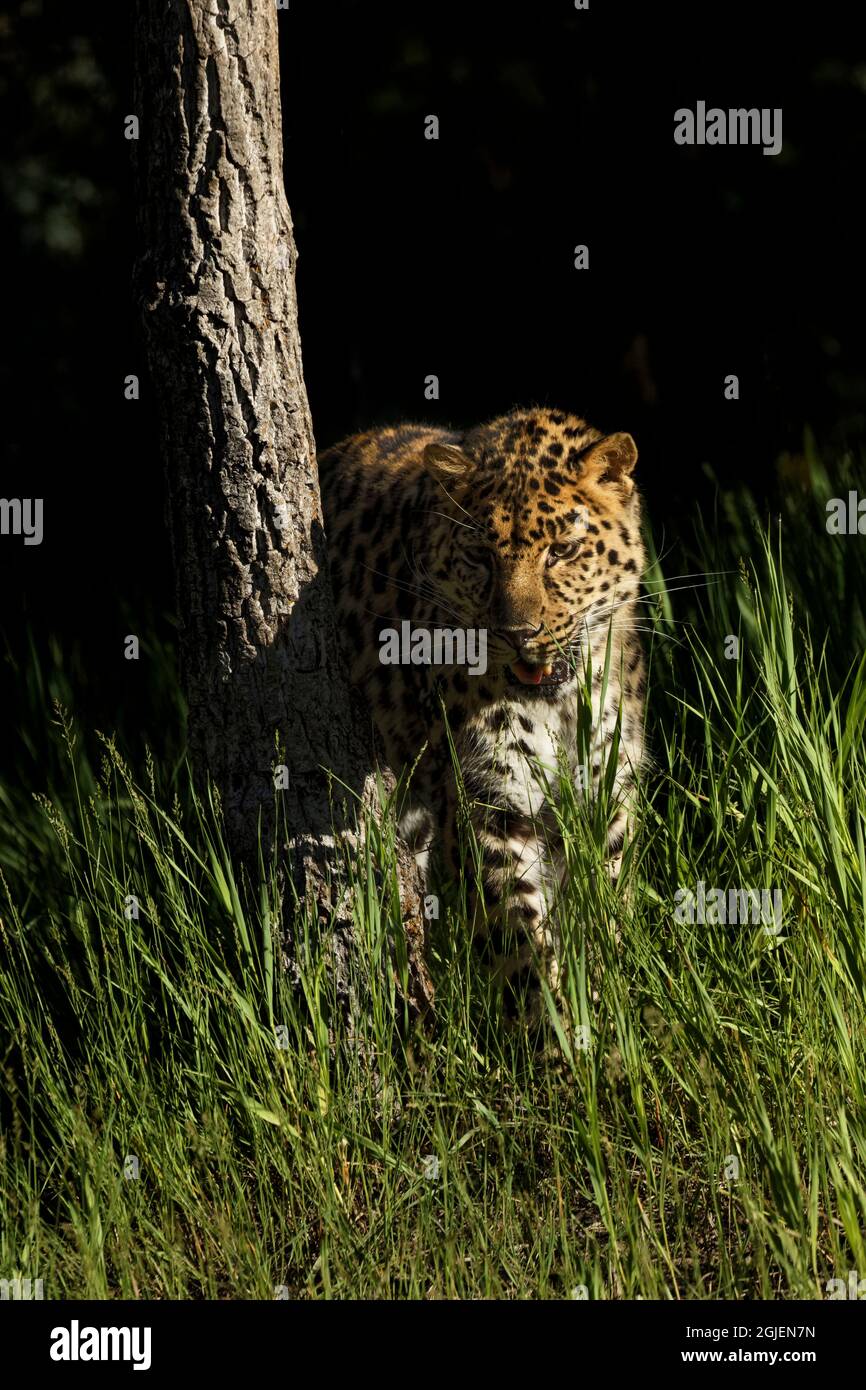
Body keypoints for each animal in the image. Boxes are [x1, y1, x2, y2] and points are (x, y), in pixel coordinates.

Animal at [317, 406, 647, 1023]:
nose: (519, 633)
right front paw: (558, 1037)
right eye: (480, 557)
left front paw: (609, 1002)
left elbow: (605, 913)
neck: (560, 705)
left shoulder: (607, 799)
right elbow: (521, 946)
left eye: (562, 551)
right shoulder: (489, 804)